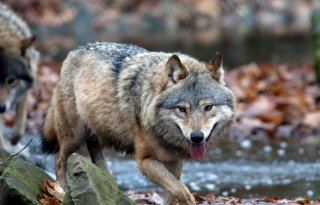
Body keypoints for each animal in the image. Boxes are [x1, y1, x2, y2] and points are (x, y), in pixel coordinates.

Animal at [42, 42, 235, 205]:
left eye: (208, 107)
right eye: (182, 109)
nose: (197, 137)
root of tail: (74, 51)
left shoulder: (175, 162)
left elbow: (174, 192)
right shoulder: (145, 161)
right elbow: (183, 191)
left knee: (95, 158)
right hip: (73, 137)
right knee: (59, 159)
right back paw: (62, 190)